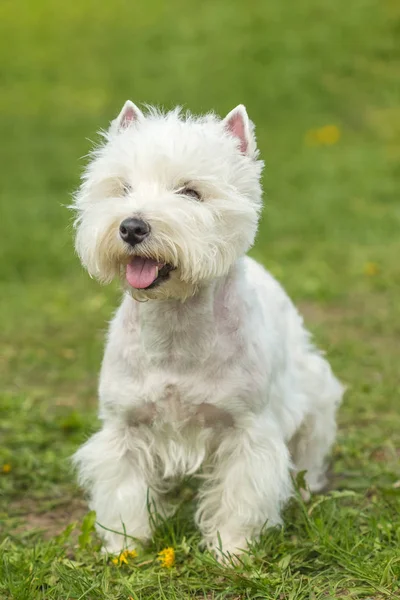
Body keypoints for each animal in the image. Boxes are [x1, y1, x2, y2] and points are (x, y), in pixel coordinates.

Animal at [72, 103, 344, 556]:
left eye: (191, 192)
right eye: (122, 188)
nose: (132, 226)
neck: (174, 325)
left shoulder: (247, 429)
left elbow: (241, 492)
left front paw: (231, 549)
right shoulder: (124, 426)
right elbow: (124, 489)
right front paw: (125, 545)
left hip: (314, 392)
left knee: (308, 448)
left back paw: (305, 488)